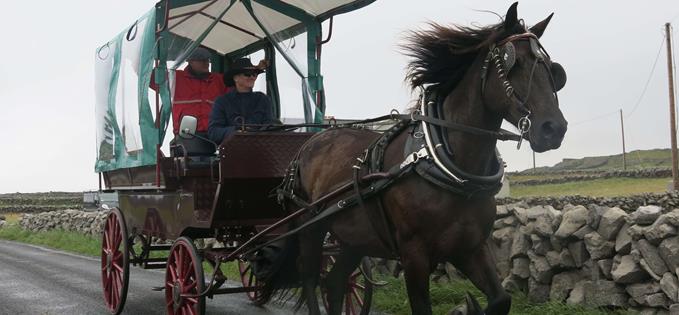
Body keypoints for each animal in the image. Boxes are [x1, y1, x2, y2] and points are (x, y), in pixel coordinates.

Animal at [256, 3, 568, 315]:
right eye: (512, 63)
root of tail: (309, 144)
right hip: (311, 226)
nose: (553, 128)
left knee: (334, 283)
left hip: (355, 238)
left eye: (552, 69)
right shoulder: (414, 255)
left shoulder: (470, 248)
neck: (445, 166)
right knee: (309, 277)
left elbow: (501, 299)